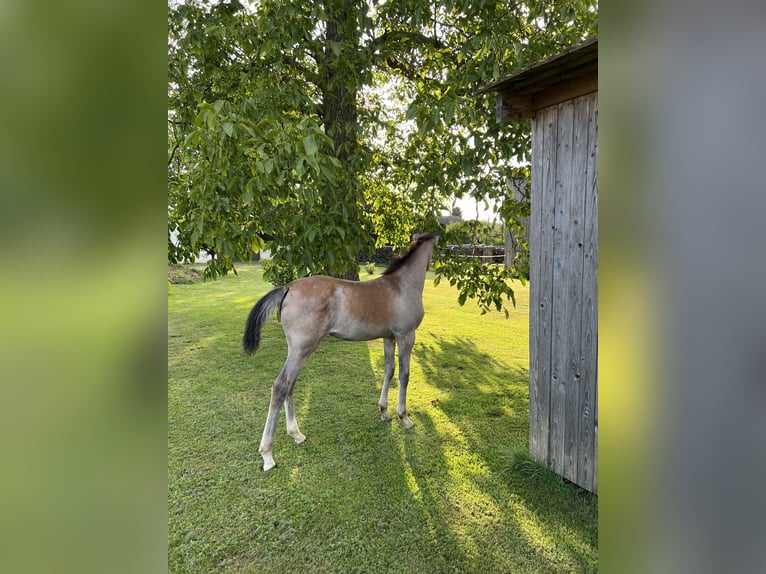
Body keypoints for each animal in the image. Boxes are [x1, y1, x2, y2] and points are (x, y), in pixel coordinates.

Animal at [243, 233, 440, 472]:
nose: (434, 264)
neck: (402, 286)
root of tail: (288, 287)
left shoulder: (389, 338)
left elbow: (388, 371)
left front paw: (384, 412)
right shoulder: (406, 336)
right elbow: (404, 375)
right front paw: (404, 417)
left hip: (300, 351)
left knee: (290, 385)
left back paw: (296, 434)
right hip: (302, 349)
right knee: (281, 386)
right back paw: (268, 455)